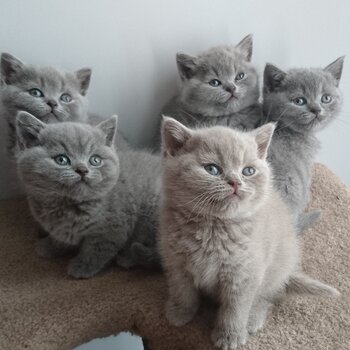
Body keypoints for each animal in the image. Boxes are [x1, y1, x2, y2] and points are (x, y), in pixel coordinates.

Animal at [15, 112, 160, 278]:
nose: (82, 170)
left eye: (95, 160)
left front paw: (82, 267)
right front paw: (49, 246)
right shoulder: (61, 228)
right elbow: (61, 238)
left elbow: (97, 250)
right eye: (61, 159)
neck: (69, 206)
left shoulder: (112, 228)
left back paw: (127, 258)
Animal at [159, 118, 340, 350]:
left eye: (248, 171)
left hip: (273, 271)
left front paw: (230, 336)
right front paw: (180, 313)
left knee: (267, 297)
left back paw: (252, 320)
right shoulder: (176, 262)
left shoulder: (245, 274)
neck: (213, 228)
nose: (236, 182)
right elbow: (182, 290)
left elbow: (236, 308)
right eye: (212, 169)